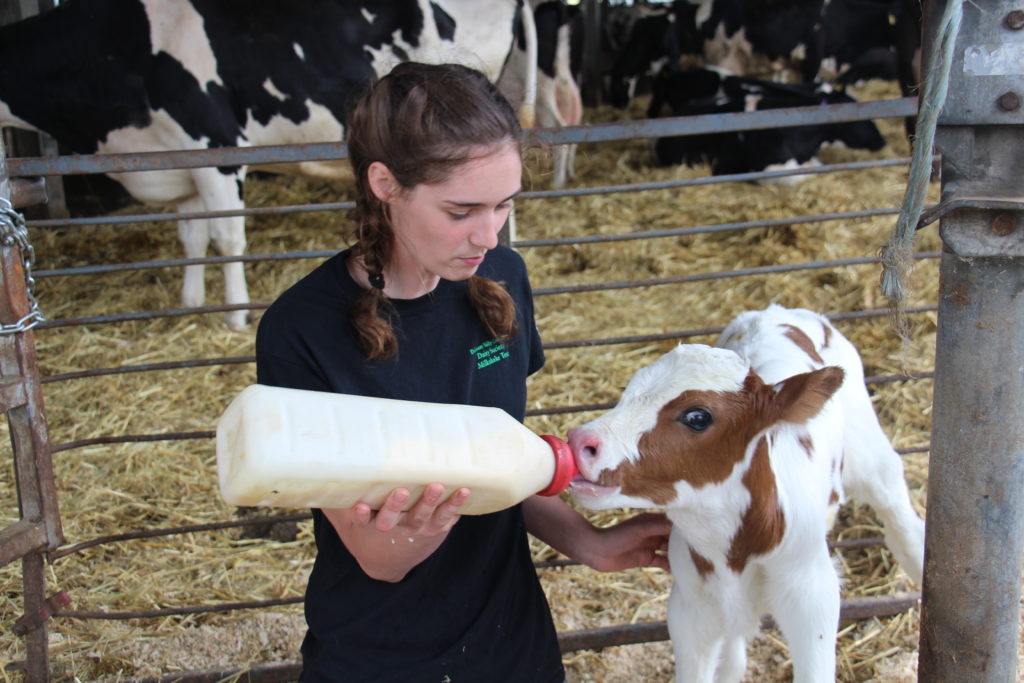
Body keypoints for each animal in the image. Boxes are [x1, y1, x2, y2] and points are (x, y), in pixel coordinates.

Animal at [0, 0, 552, 331]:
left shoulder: (216, 150)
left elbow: (227, 236)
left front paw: (237, 315)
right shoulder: (173, 160)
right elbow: (191, 237)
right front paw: (192, 302)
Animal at [569, 305, 929, 683]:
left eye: (698, 416)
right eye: (629, 392)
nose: (581, 441)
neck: (732, 551)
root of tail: (776, 310)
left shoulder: (813, 601)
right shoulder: (689, 610)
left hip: (869, 453)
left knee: (901, 521)